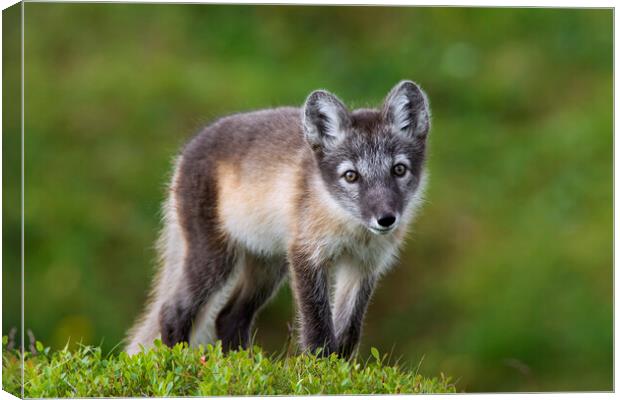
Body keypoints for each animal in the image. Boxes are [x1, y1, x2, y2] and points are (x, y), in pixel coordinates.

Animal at [126, 79, 432, 356]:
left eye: (399, 170)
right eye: (351, 176)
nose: (386, 219)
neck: (350, 227)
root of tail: (183, 154)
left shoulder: (364, 266)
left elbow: (348, 333)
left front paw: (341, 370)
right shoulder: (306, 255)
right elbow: (318, 329)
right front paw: (319, 370)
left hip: (268, 265)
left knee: (229, 317)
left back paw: (242, 364)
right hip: (215, 259)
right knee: (172, 311)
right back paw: (176, 361)